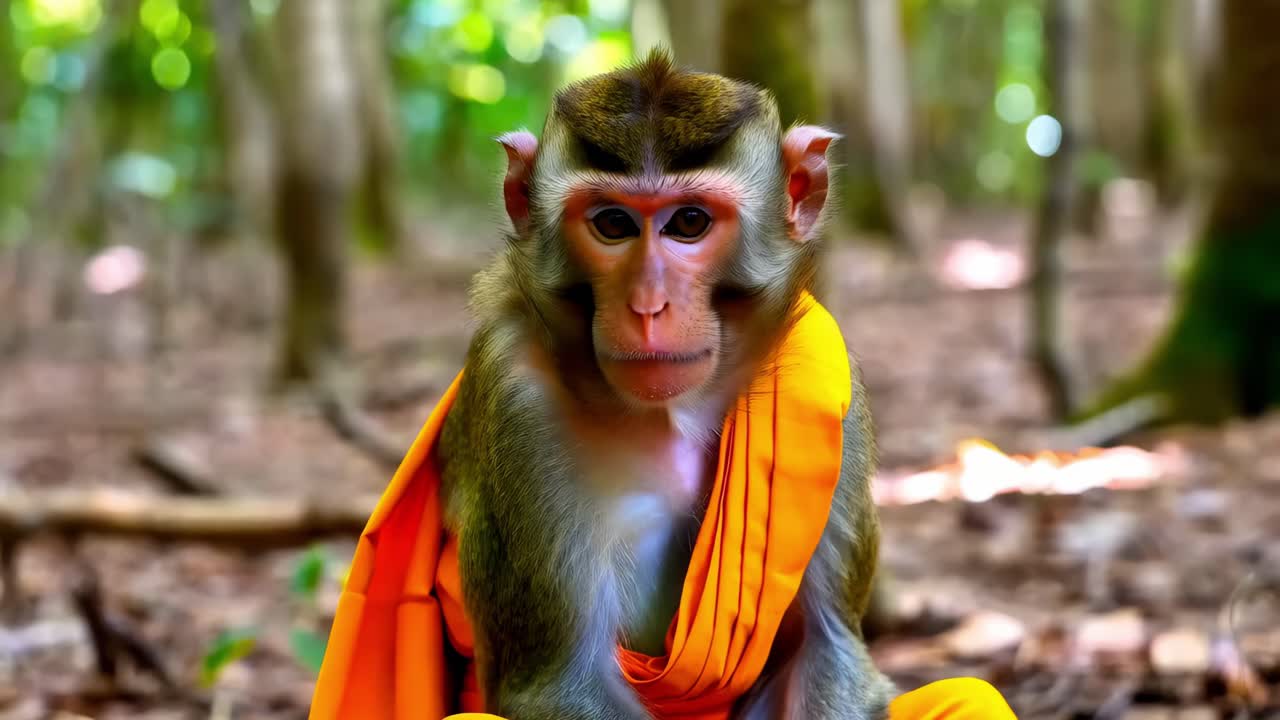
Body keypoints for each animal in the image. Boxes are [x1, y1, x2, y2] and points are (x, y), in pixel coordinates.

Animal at [435, 49, 894, 719]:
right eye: (612, 224)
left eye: (689, 222)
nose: (648, 307)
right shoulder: (513, 391)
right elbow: (559, 681)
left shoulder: (833, 385)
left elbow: (828, 642)